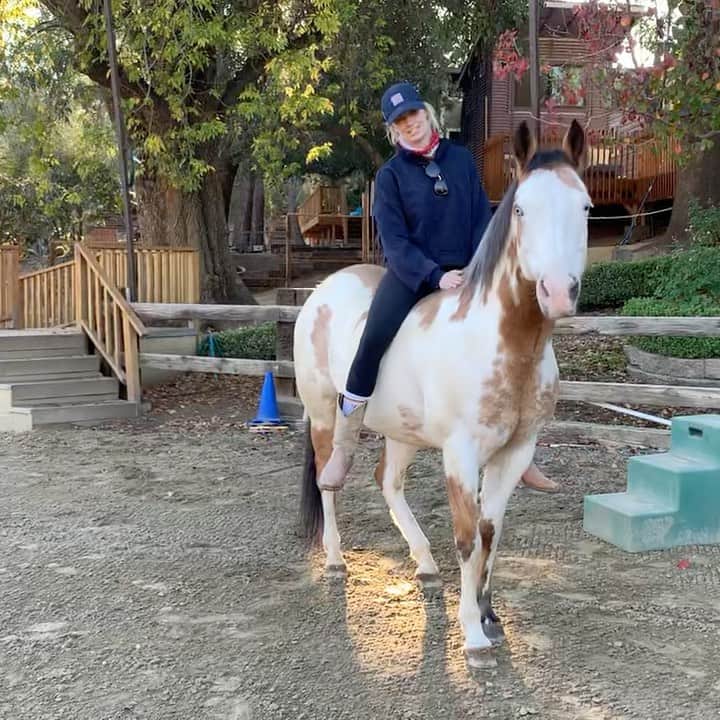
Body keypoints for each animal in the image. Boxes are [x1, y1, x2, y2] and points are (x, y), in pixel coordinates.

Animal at [293, 120, 591, 667]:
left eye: (584, 207)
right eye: (521, 209)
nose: (558, 293)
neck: (503, 342)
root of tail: (324, 289)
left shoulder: (516, 452)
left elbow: (492, 532)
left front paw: (491, 616)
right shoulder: (461, 453)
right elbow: (468, 537)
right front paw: (472, 635)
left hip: (402, 431)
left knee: (388, 482)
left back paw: (426, 566)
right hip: (324, 415)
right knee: (329, 482)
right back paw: (335, 560)